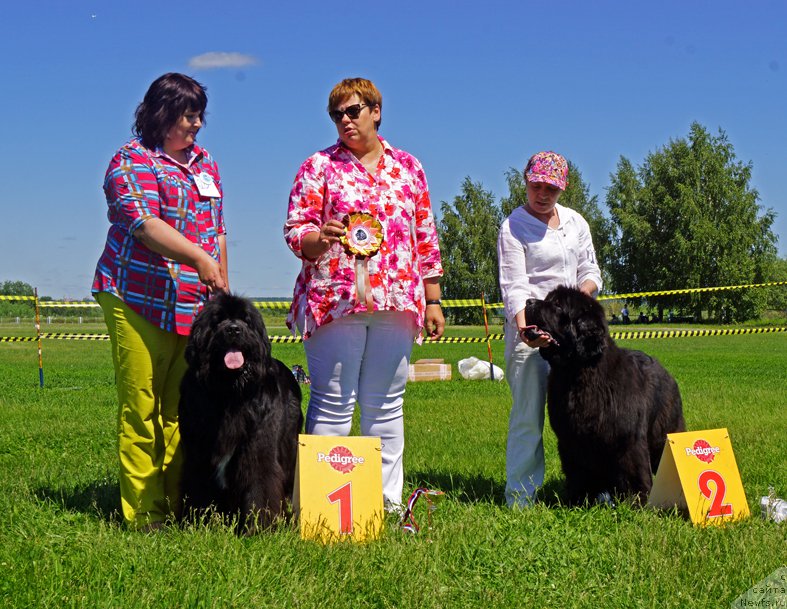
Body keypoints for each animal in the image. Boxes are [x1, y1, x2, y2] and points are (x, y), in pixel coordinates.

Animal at [180, 292, 304, 536]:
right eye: (218, 320)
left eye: (246, 321)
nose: (234, 330)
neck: (230, 394)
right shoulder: (197, 452)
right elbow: (198, 484)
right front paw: (198, 524)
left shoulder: (258, 449)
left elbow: (259, 482)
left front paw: (256, 528)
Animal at [528, 284, 688, 504]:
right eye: (547, 300)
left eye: (558, 305)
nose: (528, 302)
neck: (577, 373)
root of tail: (666, 372)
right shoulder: (571, 439)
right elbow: (577, 471)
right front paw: (578, 500)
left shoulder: (627, 438)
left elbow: (634, 469)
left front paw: (638, 500)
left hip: (663, 431)